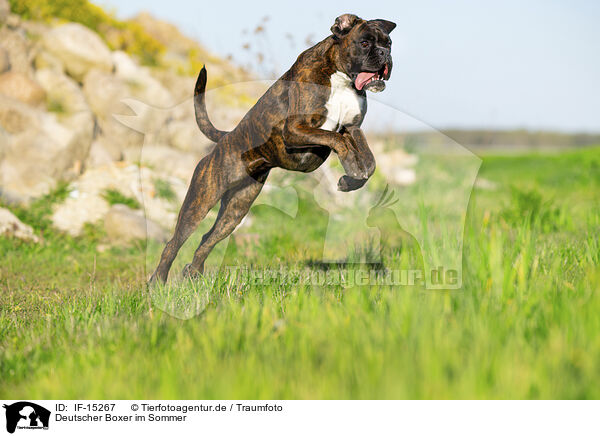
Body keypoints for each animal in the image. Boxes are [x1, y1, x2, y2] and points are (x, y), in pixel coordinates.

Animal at [149, 12, 394, 282]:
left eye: (389, 43)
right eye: (365, 43)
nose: (384, 53)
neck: (340, 78)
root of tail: (225, 138)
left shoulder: (353, 128)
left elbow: (369, 162)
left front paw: (351, 180)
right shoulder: (295, 130)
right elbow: (338, 141)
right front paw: (351, 167)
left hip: (236, 209)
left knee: (206, 239)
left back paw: (193, 273)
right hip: (200, 201)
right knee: (173, 243)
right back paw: (157, 282)